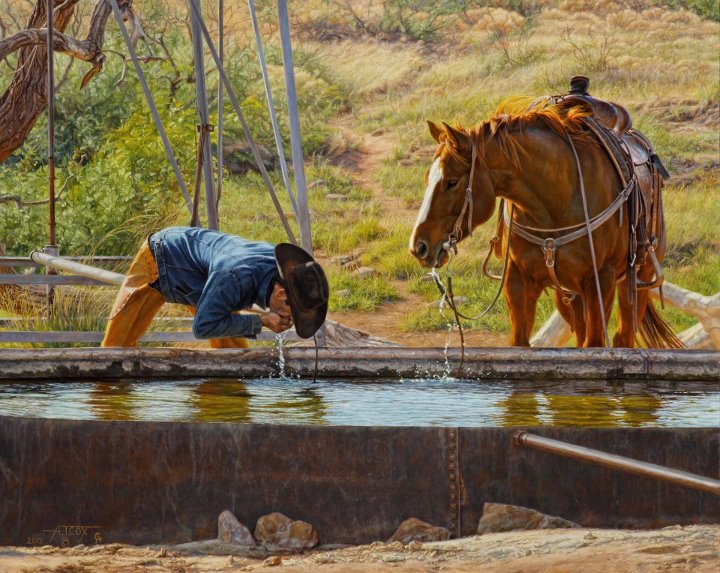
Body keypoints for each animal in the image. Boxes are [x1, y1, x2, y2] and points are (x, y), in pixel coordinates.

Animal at [410, 97, 680, 348]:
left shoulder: (601, 281)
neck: (555, 202)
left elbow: (595, 344)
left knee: (623, 336)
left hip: (637, 280)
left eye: (452, 181)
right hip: (569, 295)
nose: (419, 246)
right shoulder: (518, 282)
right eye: (427, 178)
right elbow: (520, 342)